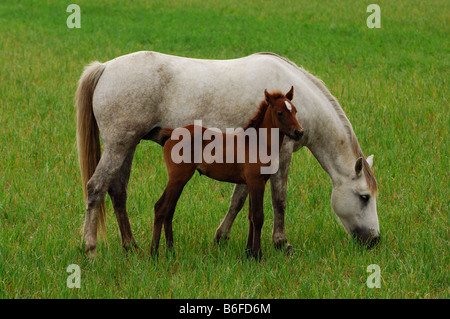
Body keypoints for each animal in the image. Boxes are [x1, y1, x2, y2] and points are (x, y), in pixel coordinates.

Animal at [75, 51, 378, 258]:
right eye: (364, 197)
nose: (375, 240)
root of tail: (105, 67)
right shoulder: (282, 156)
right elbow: (278, 200)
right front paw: (281, 243)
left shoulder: (249, 167)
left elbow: (239, 200)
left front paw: (223, 238)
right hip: (118, 145)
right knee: (96, 187)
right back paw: (90, 248)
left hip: (127, 146)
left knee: (117, 191)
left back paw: (131, 246)